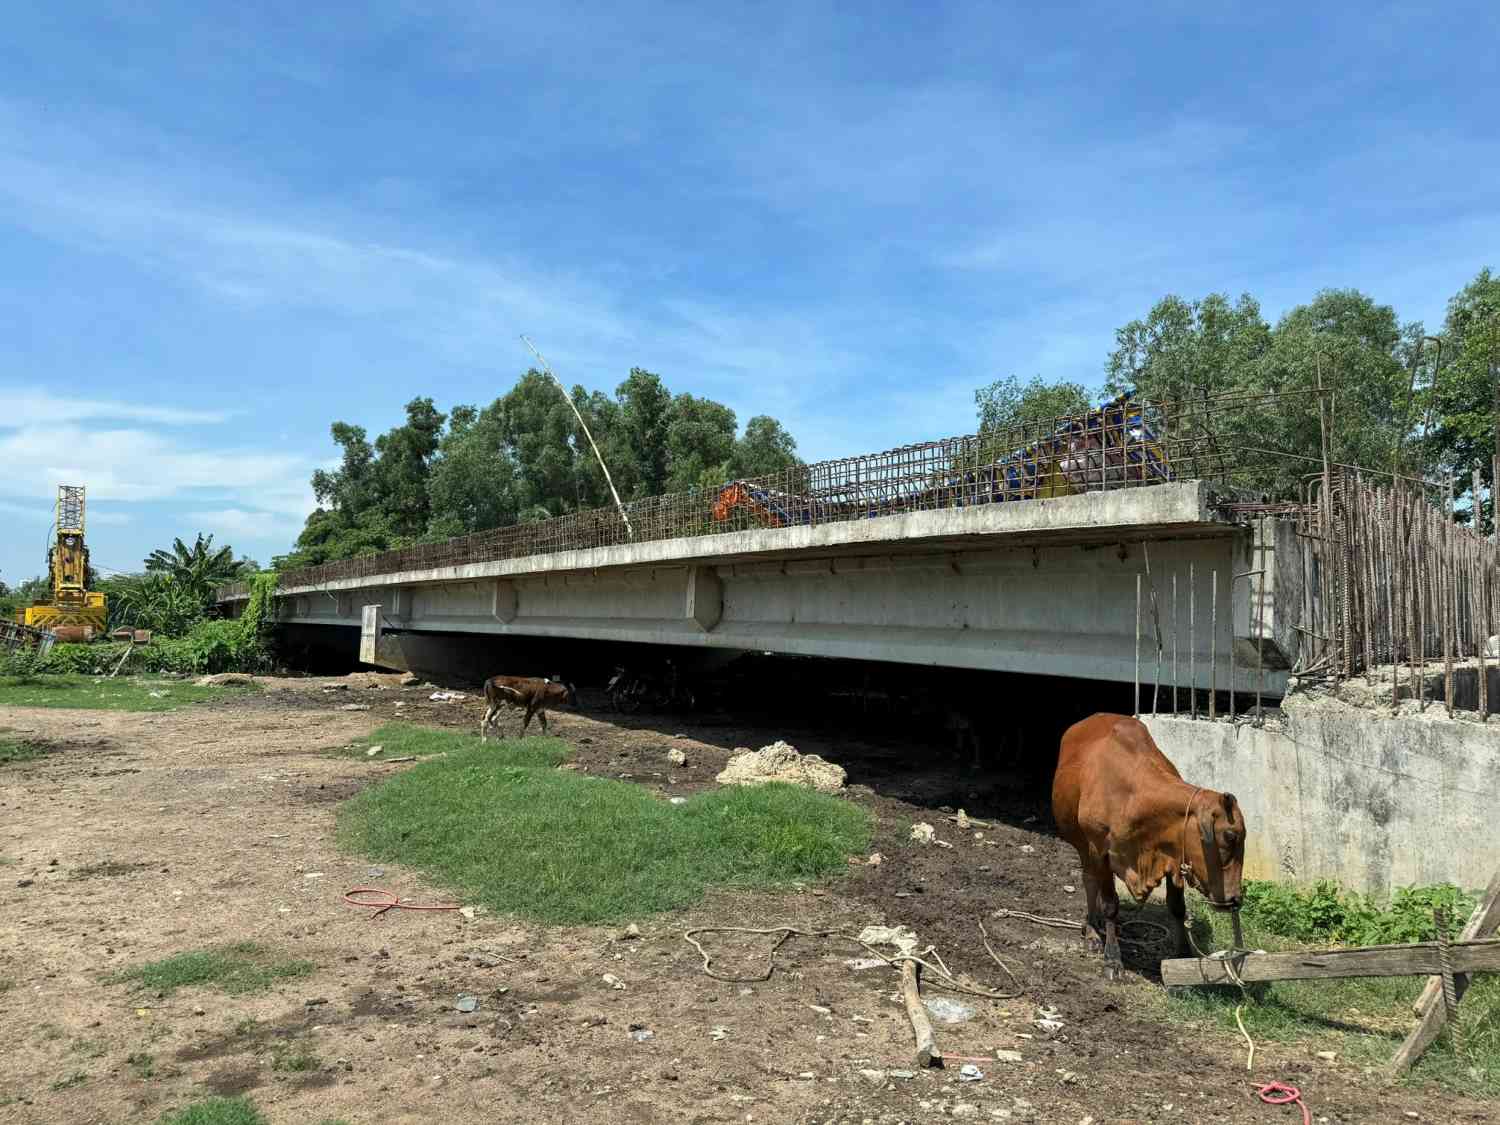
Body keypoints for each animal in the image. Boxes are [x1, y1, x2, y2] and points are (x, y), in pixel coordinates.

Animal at [1050, 717, 1248, 984]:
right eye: (1230, 836)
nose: (1236, 899)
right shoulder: (1100, 851)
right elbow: (1110, 904)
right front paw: (1112, 959)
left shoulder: (1173, 857)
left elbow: (1177, 908)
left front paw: (1182, 956)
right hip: (1082, 844)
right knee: (1089, 881)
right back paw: (1092, 930)